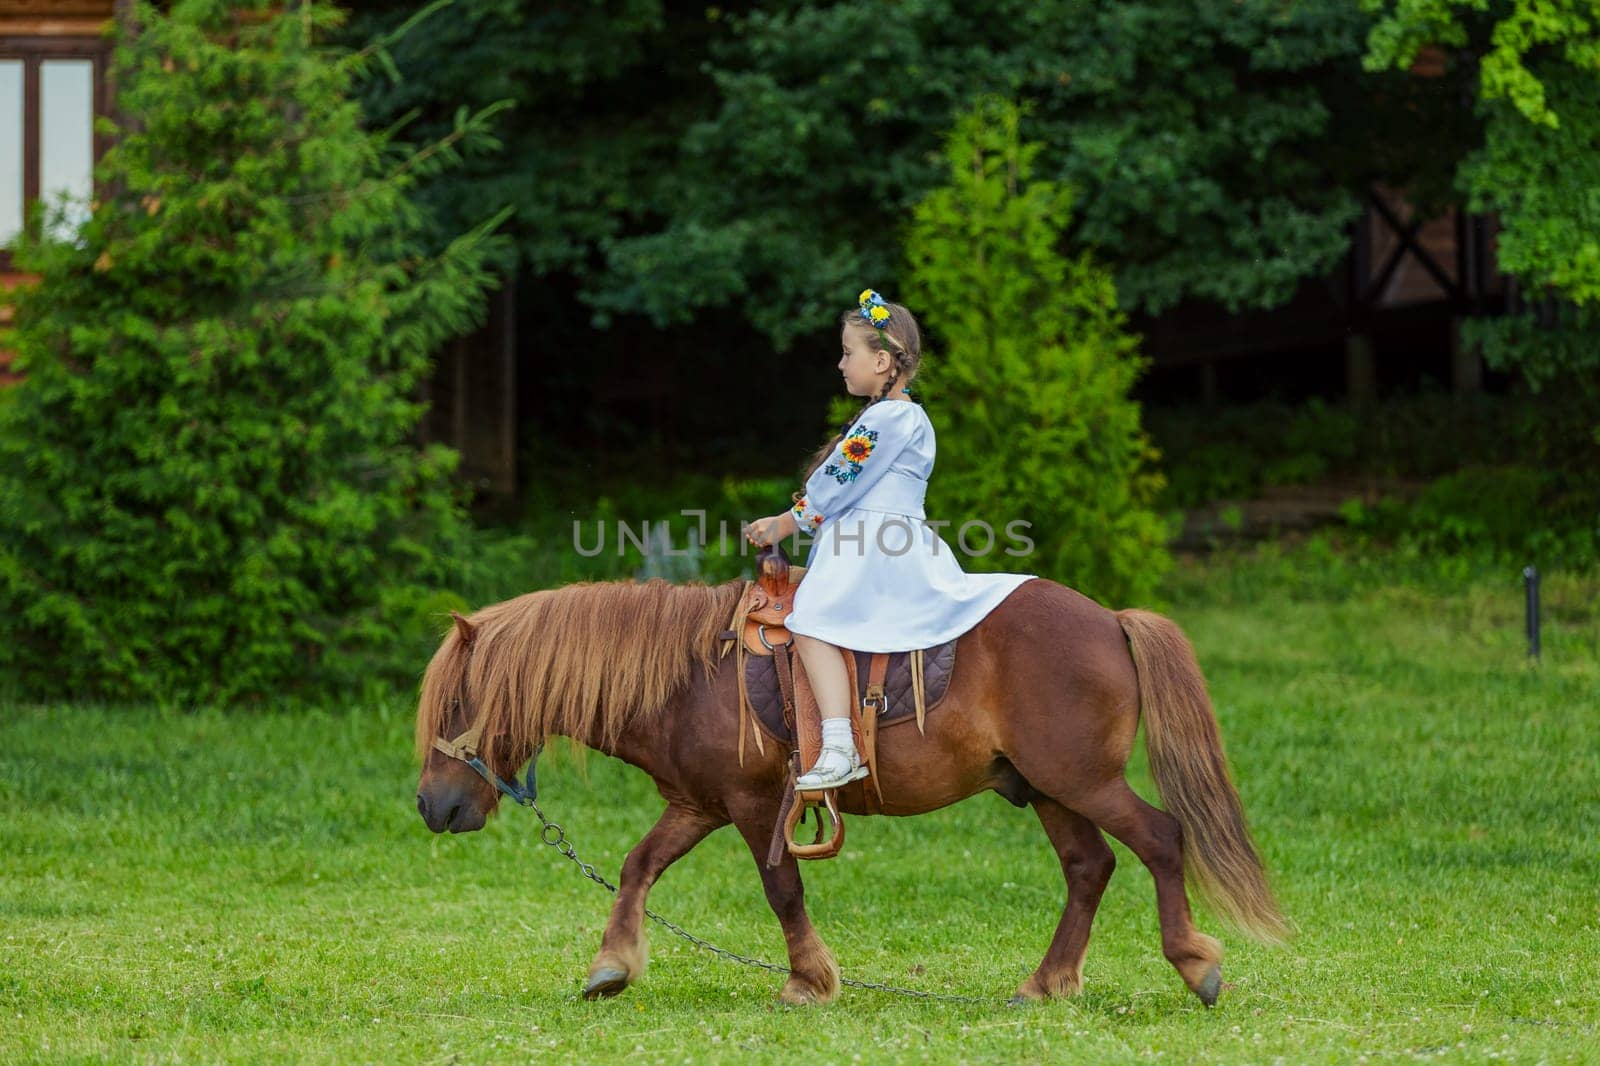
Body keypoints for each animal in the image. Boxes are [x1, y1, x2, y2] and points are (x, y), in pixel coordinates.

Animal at [416, 569, 1286, 998]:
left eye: (456, 704)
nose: (431, 805)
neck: (690, 673)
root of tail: (1110, 619)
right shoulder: (697, 804)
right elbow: (638, 868)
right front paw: (612, 965)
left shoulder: (753, 805)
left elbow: (782, 888)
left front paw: (808, 980)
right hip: (1049, 788)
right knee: (1089, 867)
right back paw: (1045, 985)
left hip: (1081, 780)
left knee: (1160, 840)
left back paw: (1194, 964)